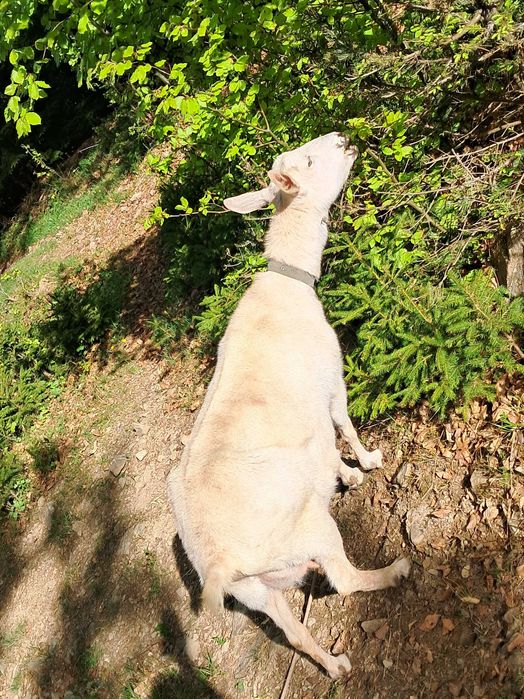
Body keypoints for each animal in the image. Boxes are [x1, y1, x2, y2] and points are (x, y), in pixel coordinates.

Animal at [167, 132, 410, 679]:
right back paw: (395, 571)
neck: (288, 280)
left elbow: (328, 447)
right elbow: (344, 423)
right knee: (346, 580)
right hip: (308, 530)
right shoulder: (330, 378)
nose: (344, 138)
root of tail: (220, 563)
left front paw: (347, 476)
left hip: (258, 590)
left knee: (293, 630)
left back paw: (336, 666)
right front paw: (367, 465)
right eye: (312, 161)